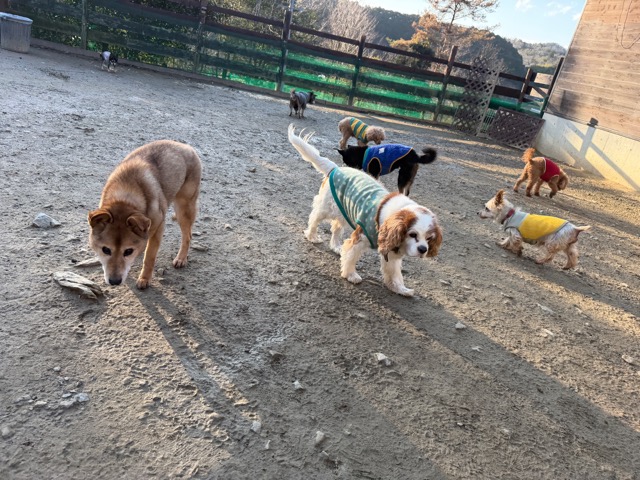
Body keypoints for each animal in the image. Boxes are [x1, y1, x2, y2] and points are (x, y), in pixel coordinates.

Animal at [88, 140, 202, 289]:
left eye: (128, 251)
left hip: (184, 208)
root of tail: (185, 146)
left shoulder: (159, 227)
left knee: (187, 235)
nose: (114, 281)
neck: (125, 197)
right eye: (105, 250)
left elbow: (149, 257)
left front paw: (144, 279)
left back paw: (181, 259)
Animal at [288, 125, 442, 296]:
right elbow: (350, 257)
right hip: (326, 208)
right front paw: (351, 275)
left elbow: (394, 272)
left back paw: (335, 246)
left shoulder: (391, 253)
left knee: (336, 228)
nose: (423, 249)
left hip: (343, 211)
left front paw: (400, 288)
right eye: (413, 234)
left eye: (429, 238)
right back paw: (312, 235)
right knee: (314, 218)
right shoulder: (359, 238)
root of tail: (337, 168)